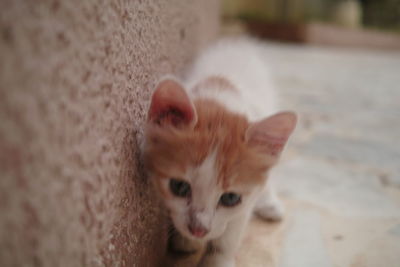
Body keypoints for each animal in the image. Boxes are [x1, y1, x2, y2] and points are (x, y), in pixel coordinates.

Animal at [144, 38, 296, 266]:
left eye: (230, 198)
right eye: (179, 186)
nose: (198, 230)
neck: (220, 98)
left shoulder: (243, 205)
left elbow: (230, 232)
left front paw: (218, 259)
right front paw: (186, 241)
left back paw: (270, 204)